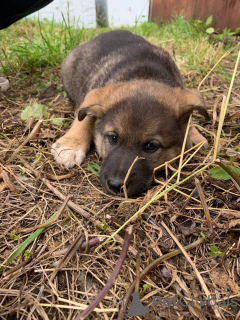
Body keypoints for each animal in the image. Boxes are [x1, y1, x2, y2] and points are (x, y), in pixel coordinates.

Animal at [51, 30, 209, 196]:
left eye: (151, 146)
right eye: (113, 138)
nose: (116, 186)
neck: (145, 75)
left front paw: (193, 133)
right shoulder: (92, 93)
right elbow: (85, 117)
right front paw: (71, 145)